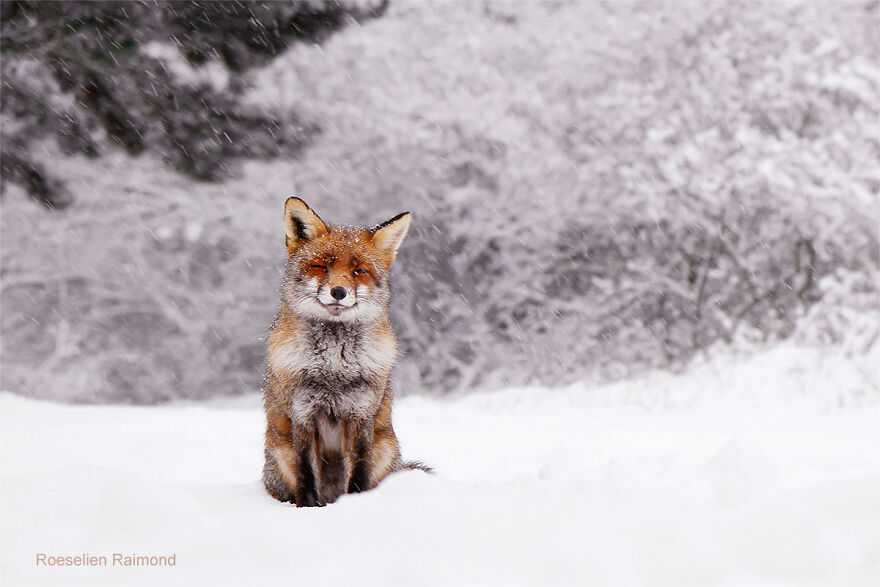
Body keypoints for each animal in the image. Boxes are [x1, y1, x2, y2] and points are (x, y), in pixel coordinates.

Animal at [262, 197, 427, 506]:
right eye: (320, 267)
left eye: (359, 271)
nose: (338, 291)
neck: (333, 366)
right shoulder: (303, 414)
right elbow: (306, 474)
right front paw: (307, 509)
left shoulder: (360, 414)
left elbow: (359, 471)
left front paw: (356, 506)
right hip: (281, 452)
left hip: (384, 447)